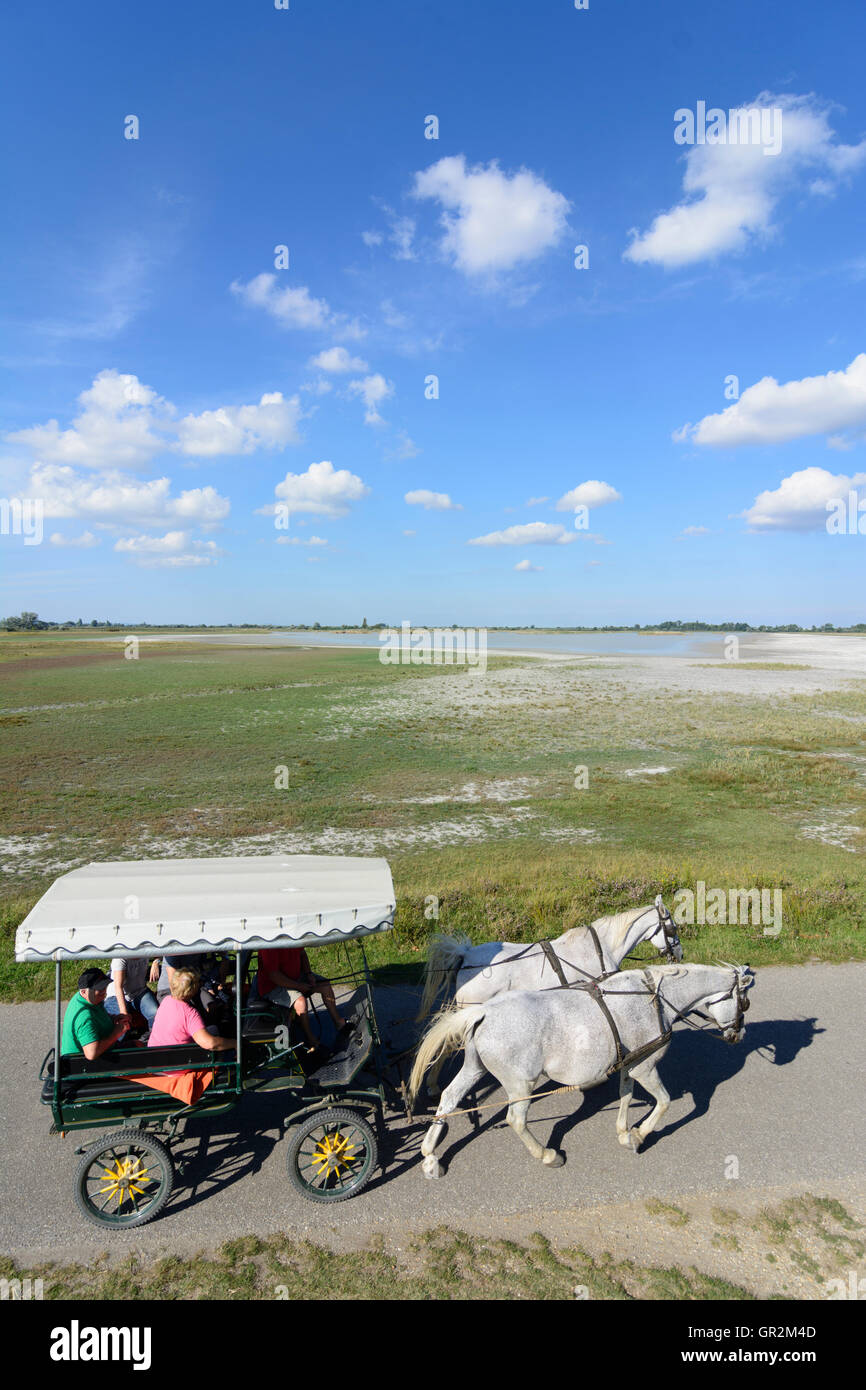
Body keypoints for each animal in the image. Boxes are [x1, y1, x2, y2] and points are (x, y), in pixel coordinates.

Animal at [409, 962, 754, 1179]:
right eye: (745, 1002)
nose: (738, 1034)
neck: (654, 1000)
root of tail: (483, 1012)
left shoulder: (629, 1065)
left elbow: (625, 1095)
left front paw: (623, 1131)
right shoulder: (645, 1068)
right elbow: (665, 1102)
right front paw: (639, 1135)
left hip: (475, 1068)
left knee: (449, 1098)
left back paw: (430, 1155)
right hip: (521, 1083)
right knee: (515, 1119)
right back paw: (547, 1155)